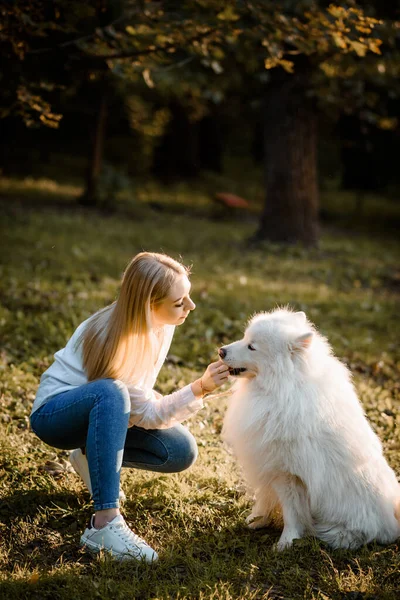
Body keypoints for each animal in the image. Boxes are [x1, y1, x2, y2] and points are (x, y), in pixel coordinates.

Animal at [220, 312, 398, 552]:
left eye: (252, 347)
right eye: (244, 338)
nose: (221, 351)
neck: (280, 389)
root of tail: (393, 522)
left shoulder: (288, 473)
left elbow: (292, 513)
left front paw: (286, 542)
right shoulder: (267, 464)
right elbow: (265, 497)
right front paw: (257, 520)